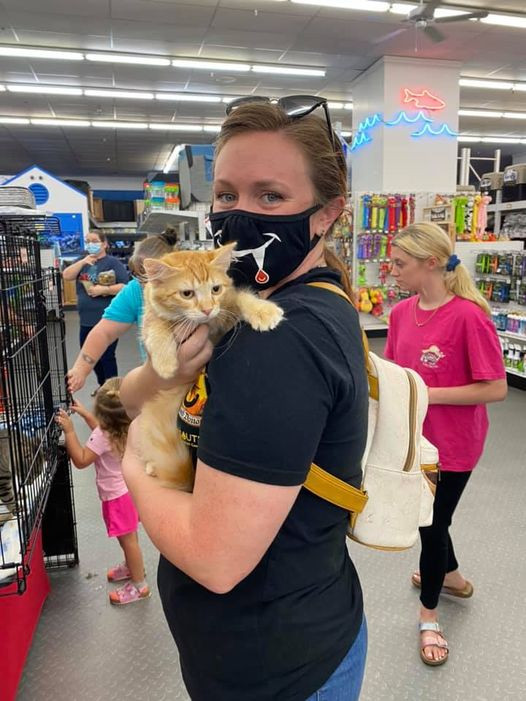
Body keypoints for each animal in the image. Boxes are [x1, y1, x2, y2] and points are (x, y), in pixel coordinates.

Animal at [140, 243, 284, 490]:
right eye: (187, 294)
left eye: (216, 289)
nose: (207, 310)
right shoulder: (150, 315)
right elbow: (156, 325)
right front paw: (165, 362)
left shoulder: (226, 310)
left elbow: (241, 297)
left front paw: (262, 311)